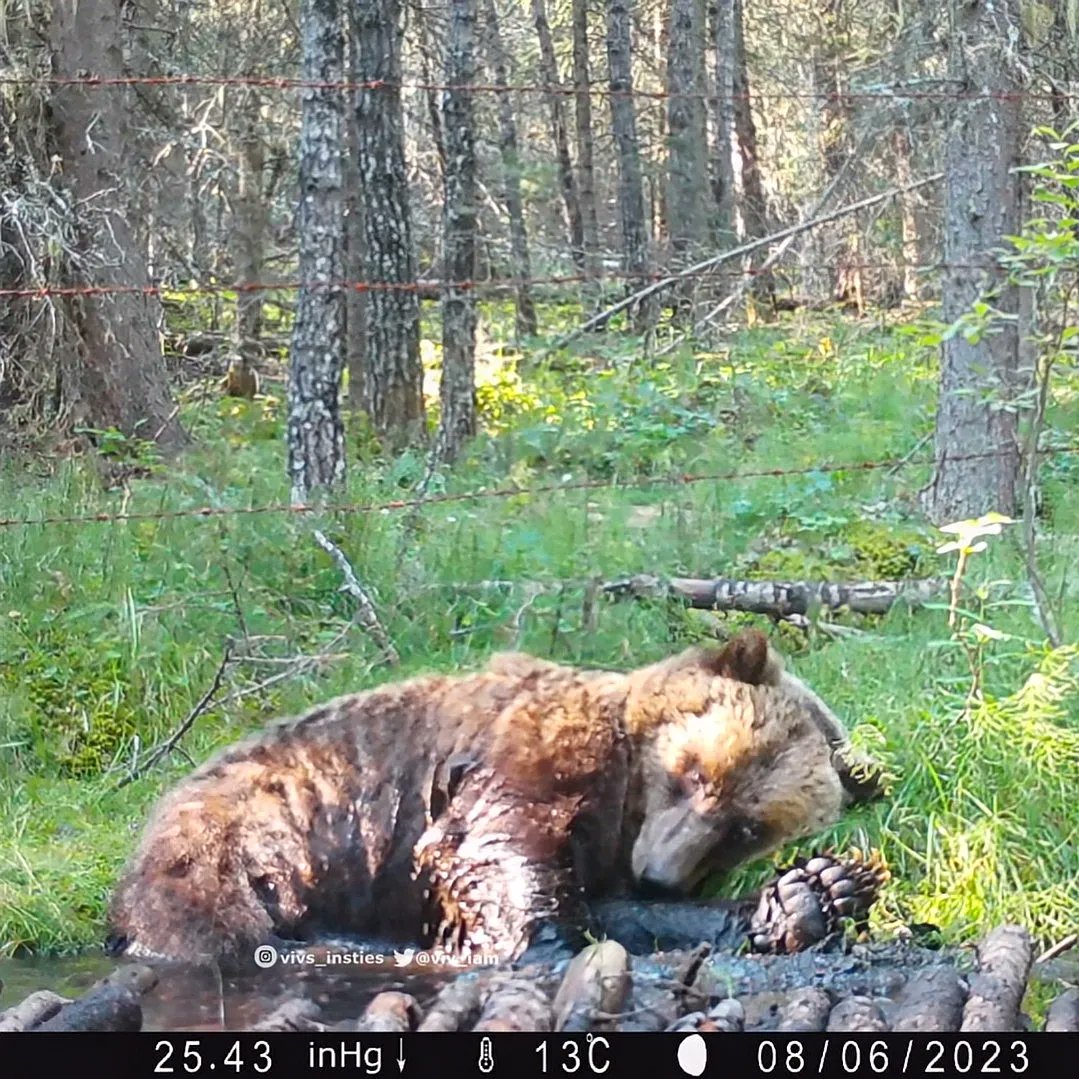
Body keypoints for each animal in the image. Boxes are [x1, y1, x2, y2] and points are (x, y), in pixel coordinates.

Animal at [104, 629, 881, 966]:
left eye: (748, 827)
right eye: (691, 772)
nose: (660, 874)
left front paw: (811, 892)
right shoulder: (539, 754)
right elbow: (500, 843)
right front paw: (530, 934)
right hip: (243, 840)